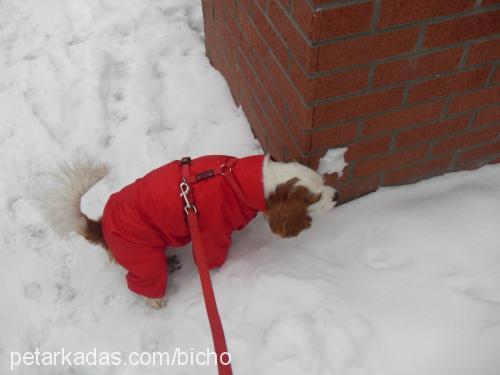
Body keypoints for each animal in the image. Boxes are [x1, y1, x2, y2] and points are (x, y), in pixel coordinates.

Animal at [43, 155, 338, 308]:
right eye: (314, 198)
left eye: (324, 182)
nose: (337, 195)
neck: (238, 180)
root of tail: (101, 225)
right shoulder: (212, 234)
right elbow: (212, 256)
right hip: (143, 258)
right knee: (139, 284)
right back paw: (157, 299)